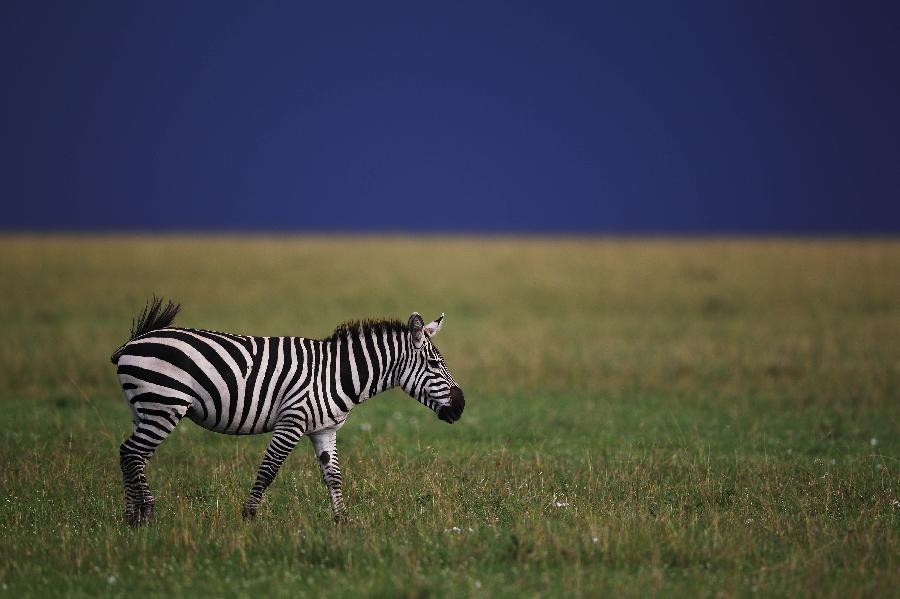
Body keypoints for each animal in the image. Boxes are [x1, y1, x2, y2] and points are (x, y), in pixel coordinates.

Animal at [111, 298, 464, 528]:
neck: (337, 374)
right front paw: (249, 517)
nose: (461, 406)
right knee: (132, 453)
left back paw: (132, 517)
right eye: (434, 364)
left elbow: (334, 476)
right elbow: (268, 470)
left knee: (131, 455)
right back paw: (145, 515)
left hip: (144, 408)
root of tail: (133, 342)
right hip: (164, 405)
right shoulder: (292, 420)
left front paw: (343, 520)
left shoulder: (324, 430)